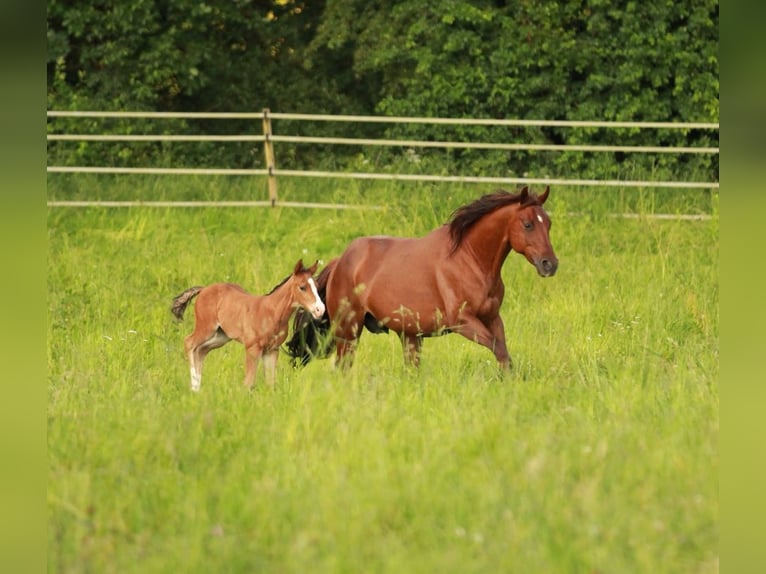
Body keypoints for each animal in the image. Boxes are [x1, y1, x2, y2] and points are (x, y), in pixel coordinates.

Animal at [288, 187, 560, 372]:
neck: (470, 259)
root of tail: (340, 261)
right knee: (343, 367)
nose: (550, 264)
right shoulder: (463, 322)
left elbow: (505, 356)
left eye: (548, 223)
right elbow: (499, 350)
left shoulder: (492, 318)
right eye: (527, 224)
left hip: (408, 335)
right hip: (349, 331)